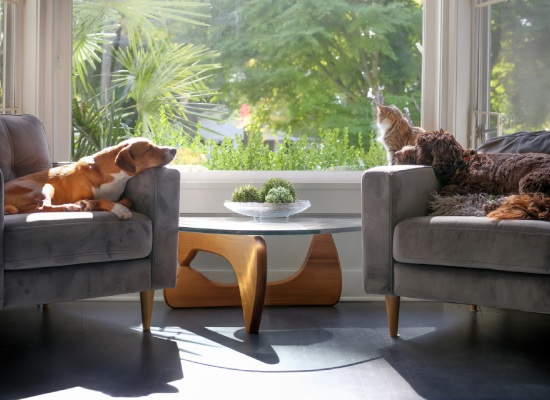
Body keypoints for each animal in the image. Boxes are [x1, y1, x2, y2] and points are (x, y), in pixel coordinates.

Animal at [3, 138, 177, 219]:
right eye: (149, 149)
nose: (174, 150)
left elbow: (128, 199)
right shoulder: (80, 195)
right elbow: (101, 200)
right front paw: (116, 208)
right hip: (45, 186)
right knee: (42, 207)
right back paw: (71, 207)